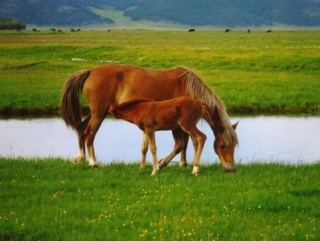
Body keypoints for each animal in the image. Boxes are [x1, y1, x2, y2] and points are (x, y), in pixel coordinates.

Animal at [61, 62, 239, 171]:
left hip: (96, 112)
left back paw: (80, 157)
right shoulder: (178, 124)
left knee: (81, 130)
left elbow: (184, 144)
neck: (188, 87)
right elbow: (180, 144)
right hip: (99, 113)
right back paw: (93, 162)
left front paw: (182, 163)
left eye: (234, 146)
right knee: (90, 134)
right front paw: (163, 163)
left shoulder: (182, 124)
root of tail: (90, 71)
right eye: (222, 145)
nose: (230, 168)